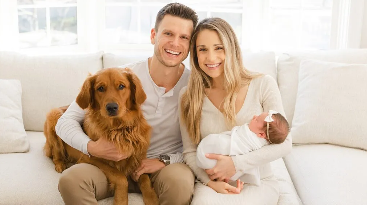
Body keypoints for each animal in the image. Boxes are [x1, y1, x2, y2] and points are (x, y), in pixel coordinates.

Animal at [43, 67, 159, 205]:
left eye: (121, 86)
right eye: (101, 88)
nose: (111, 107)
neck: (119, 128)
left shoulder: (138, 158)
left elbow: (145, 179)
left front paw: (152, 198)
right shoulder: (89, 158)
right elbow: (120, 177)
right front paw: (121, 199)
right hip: (53, 116)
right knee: (55, 154)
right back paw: (60, 165)